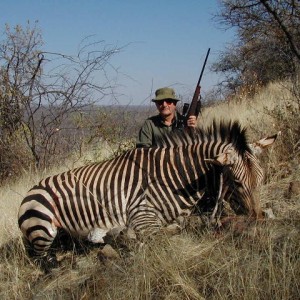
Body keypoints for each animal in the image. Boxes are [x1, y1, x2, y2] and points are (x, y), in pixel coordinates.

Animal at [17, 119, 278, 268]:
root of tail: (29, 192)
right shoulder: (142, 217)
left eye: (261, 178)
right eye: (236, 182)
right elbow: (164, 237)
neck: (172, 176)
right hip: (44, 228)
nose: (256, 218)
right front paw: (130, 242)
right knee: (42, 261)